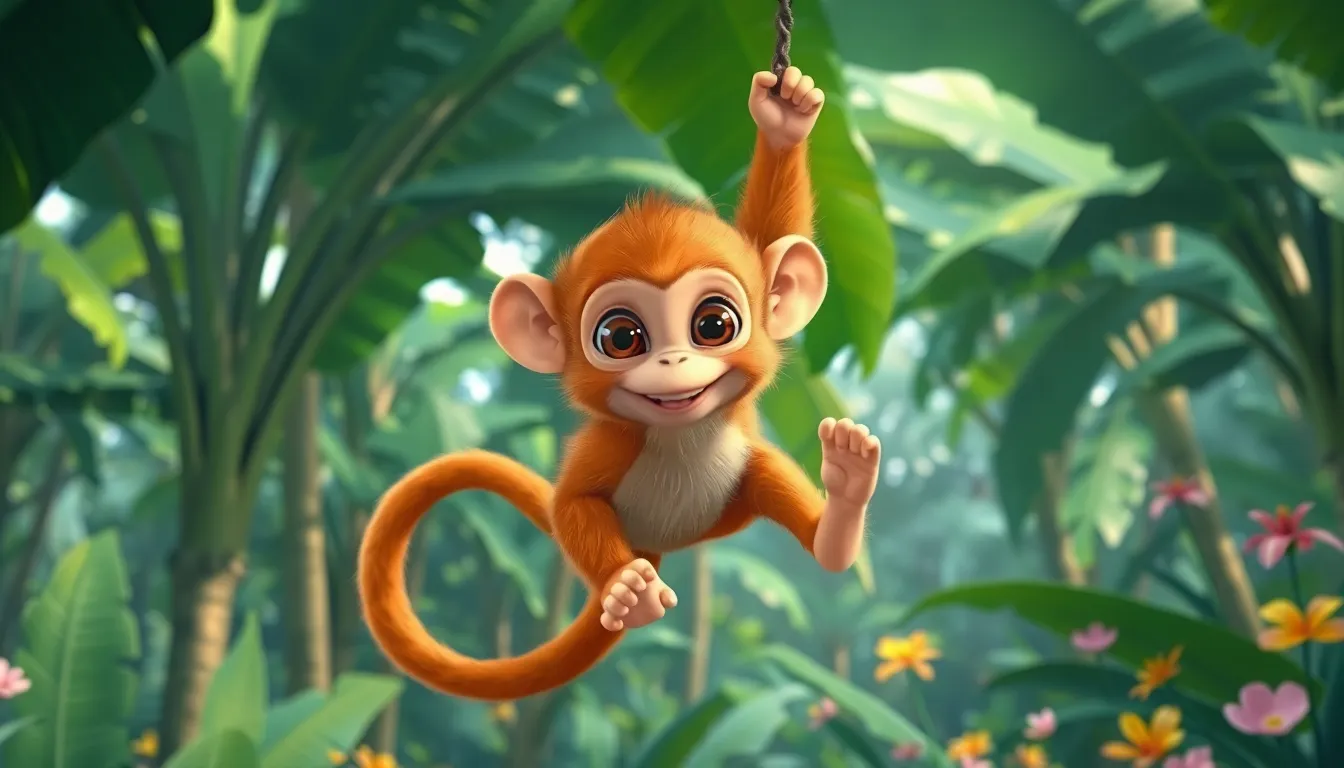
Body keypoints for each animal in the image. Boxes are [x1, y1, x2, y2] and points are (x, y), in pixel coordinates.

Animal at [358, 66, 882, 701]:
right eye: (621, 337)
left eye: (714, 324)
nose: (674, 362)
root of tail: (663, 544)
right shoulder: (613, 440)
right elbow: (573, 502)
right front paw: (624, 591)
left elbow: (768, 233)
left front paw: (784, 119)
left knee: (785, 497)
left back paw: (843, 502)